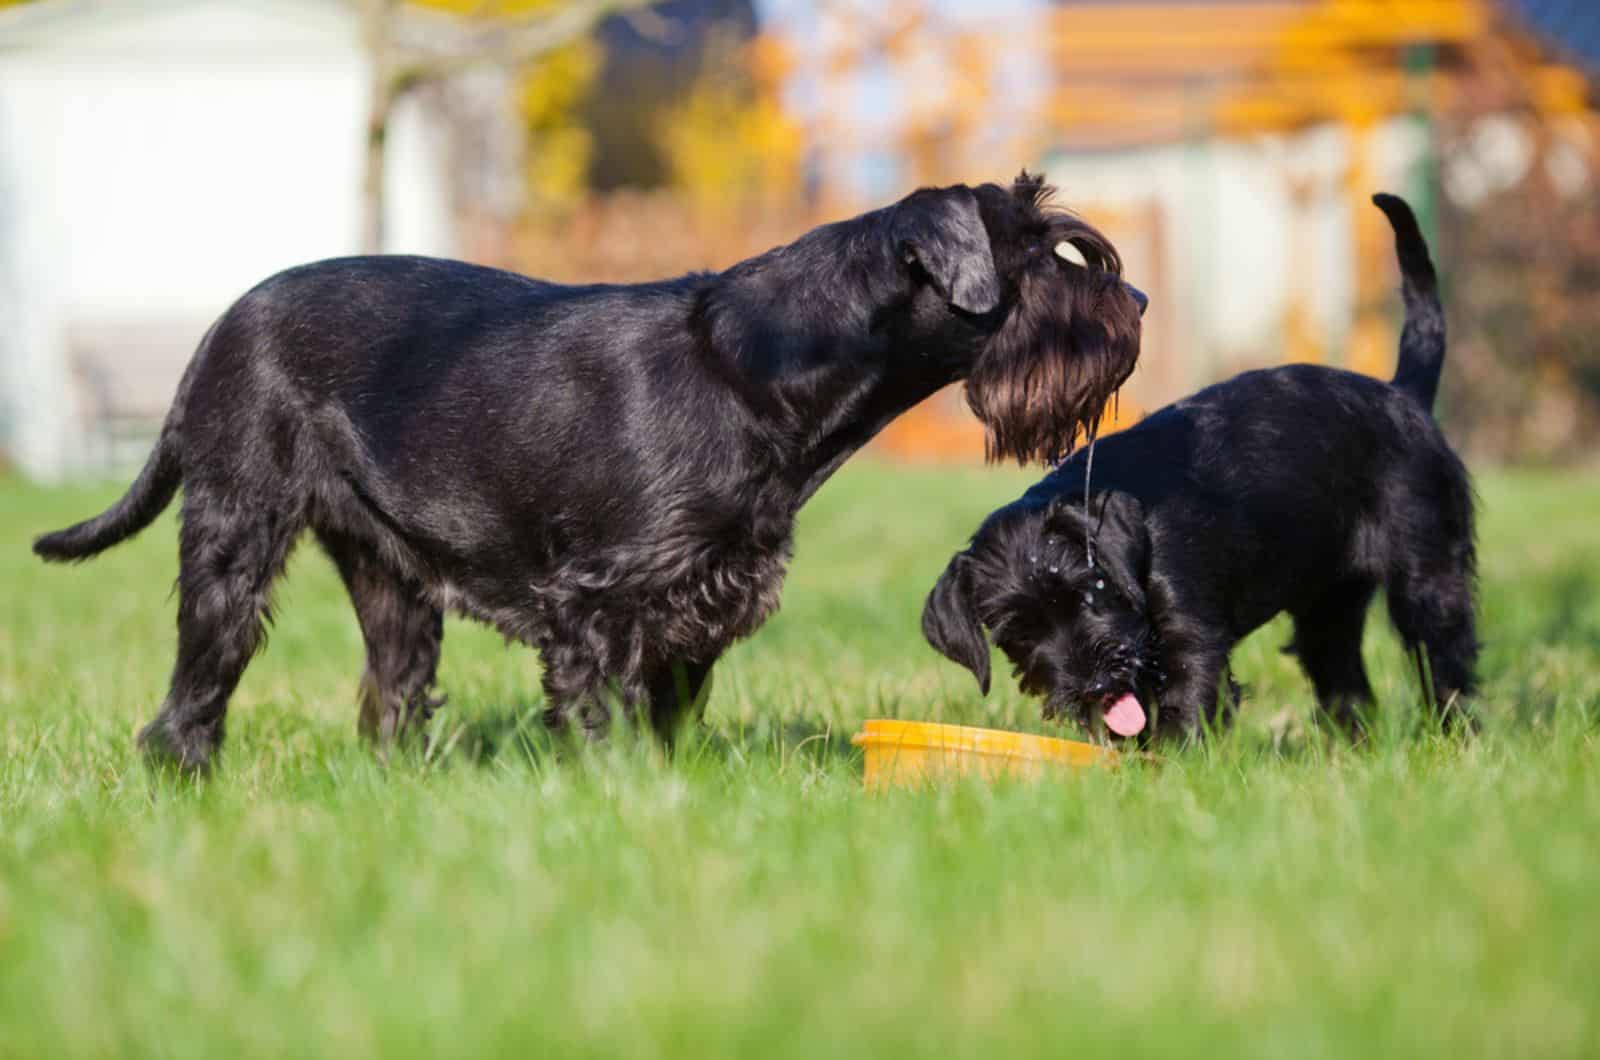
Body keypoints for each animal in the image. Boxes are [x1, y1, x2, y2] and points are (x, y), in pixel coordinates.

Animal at [31, 174, 1145, 771]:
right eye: (1041, 253)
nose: (1131, 302)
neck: (758, 365)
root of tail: (221, 323)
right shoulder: (598, 606)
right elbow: (599, 717)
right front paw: (612, 791)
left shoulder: (695, 607)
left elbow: (670, 717)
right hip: (234, 538)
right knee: (201, 675)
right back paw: (182, 773)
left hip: (391, 583)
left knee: (391, 689)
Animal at [928, 195, 1472, 742]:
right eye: (1017, 632)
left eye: (1091, 591)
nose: (1094, 685)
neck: (1139, 546)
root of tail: (1403, 394)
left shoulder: (1189, 638)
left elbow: (1185, 710)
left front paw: (1175, 757)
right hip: (1328, 604)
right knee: (1343, 677)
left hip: (1428, 578)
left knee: (1444, 659)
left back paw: (1455, 737)